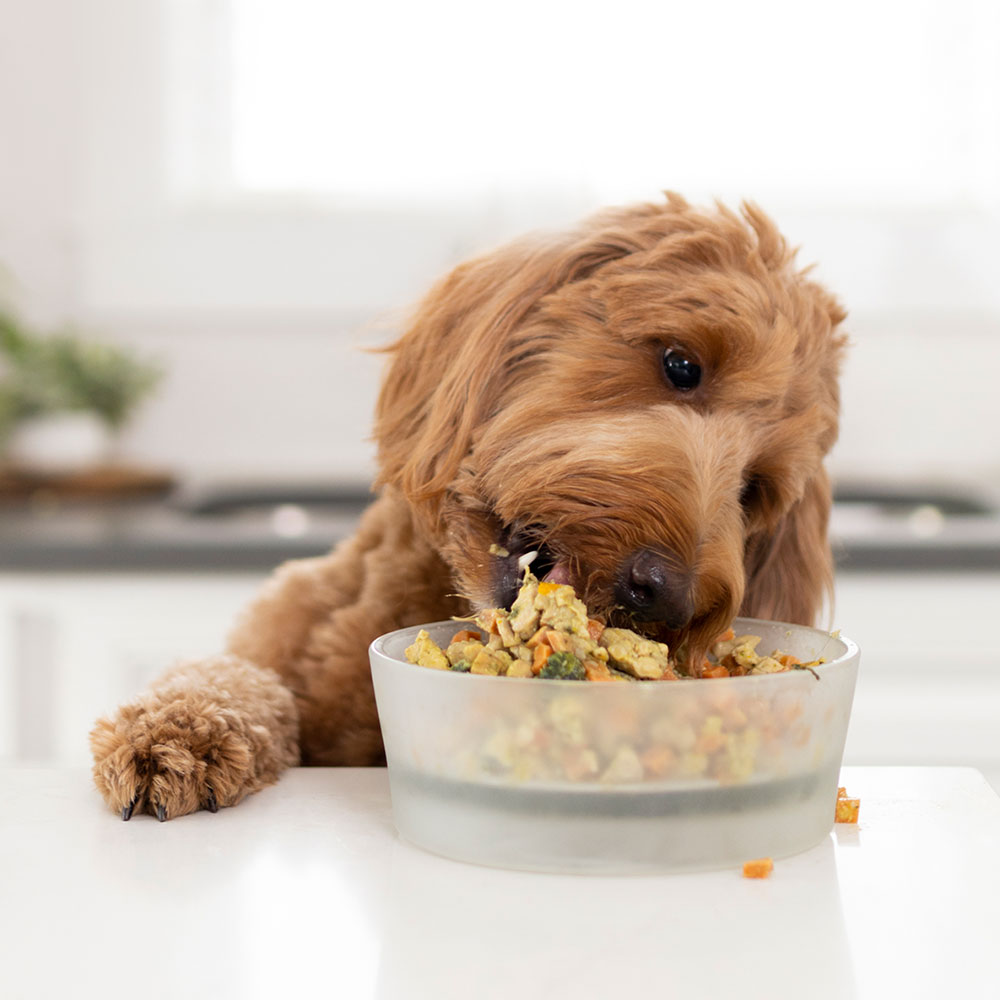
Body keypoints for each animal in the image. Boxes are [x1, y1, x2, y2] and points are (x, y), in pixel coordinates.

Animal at [90, 193, 848, 820]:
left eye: (755, 490)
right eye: (681, 365)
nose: (663, 592)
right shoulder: (273, 642)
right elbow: (231, 678)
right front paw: (168, 735)